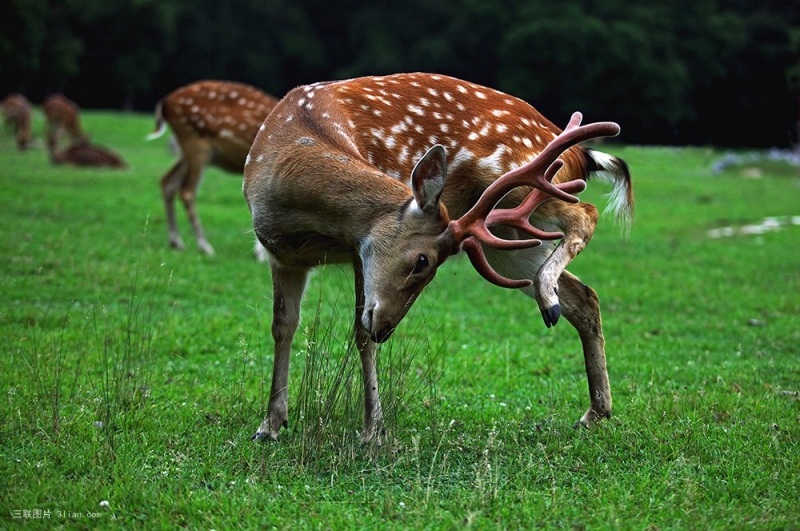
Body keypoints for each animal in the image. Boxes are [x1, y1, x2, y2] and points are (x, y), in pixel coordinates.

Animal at [147, 79, 282, 256]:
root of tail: (165, 103)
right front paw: (260, 253)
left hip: (188, 151)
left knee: (167, 182)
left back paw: (176, 241)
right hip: (196, 141)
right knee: (187, 190)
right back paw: (205, 246)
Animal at [241, 72, 636, 442]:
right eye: (423, 261)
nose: (386, 328)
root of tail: (579, 154)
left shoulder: (358, 253)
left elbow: (360, 335)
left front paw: (373, 429)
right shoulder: (282, 257)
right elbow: (283, 326)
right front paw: (270, 425)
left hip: (523, 184)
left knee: (586, 212)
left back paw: (549, 298)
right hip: (503, 241)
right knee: (584, 295)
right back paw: (594, 408)